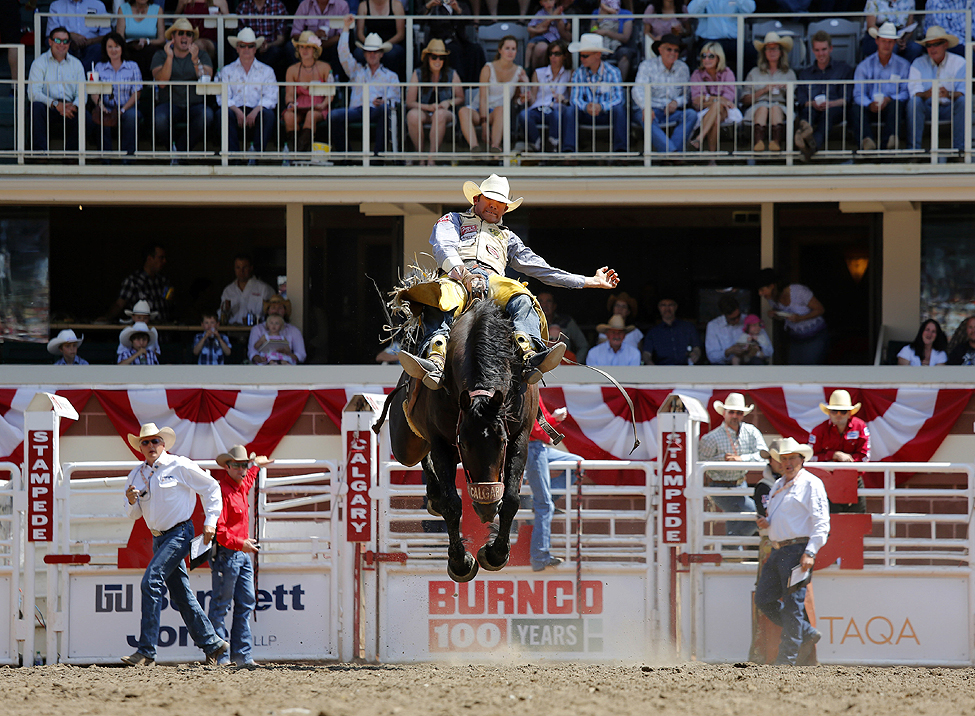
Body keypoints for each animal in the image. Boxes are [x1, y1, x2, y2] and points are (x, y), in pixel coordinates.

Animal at [382, 300, 536, 584]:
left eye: (502, 441)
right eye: (463, 443)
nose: (487, 506)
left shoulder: (521, 436)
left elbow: (511, 499)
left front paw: (496, 554)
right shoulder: (441, 442)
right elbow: (452, 505)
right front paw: (460, 562)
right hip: (405, 444)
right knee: (421, 455)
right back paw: (434, 495)